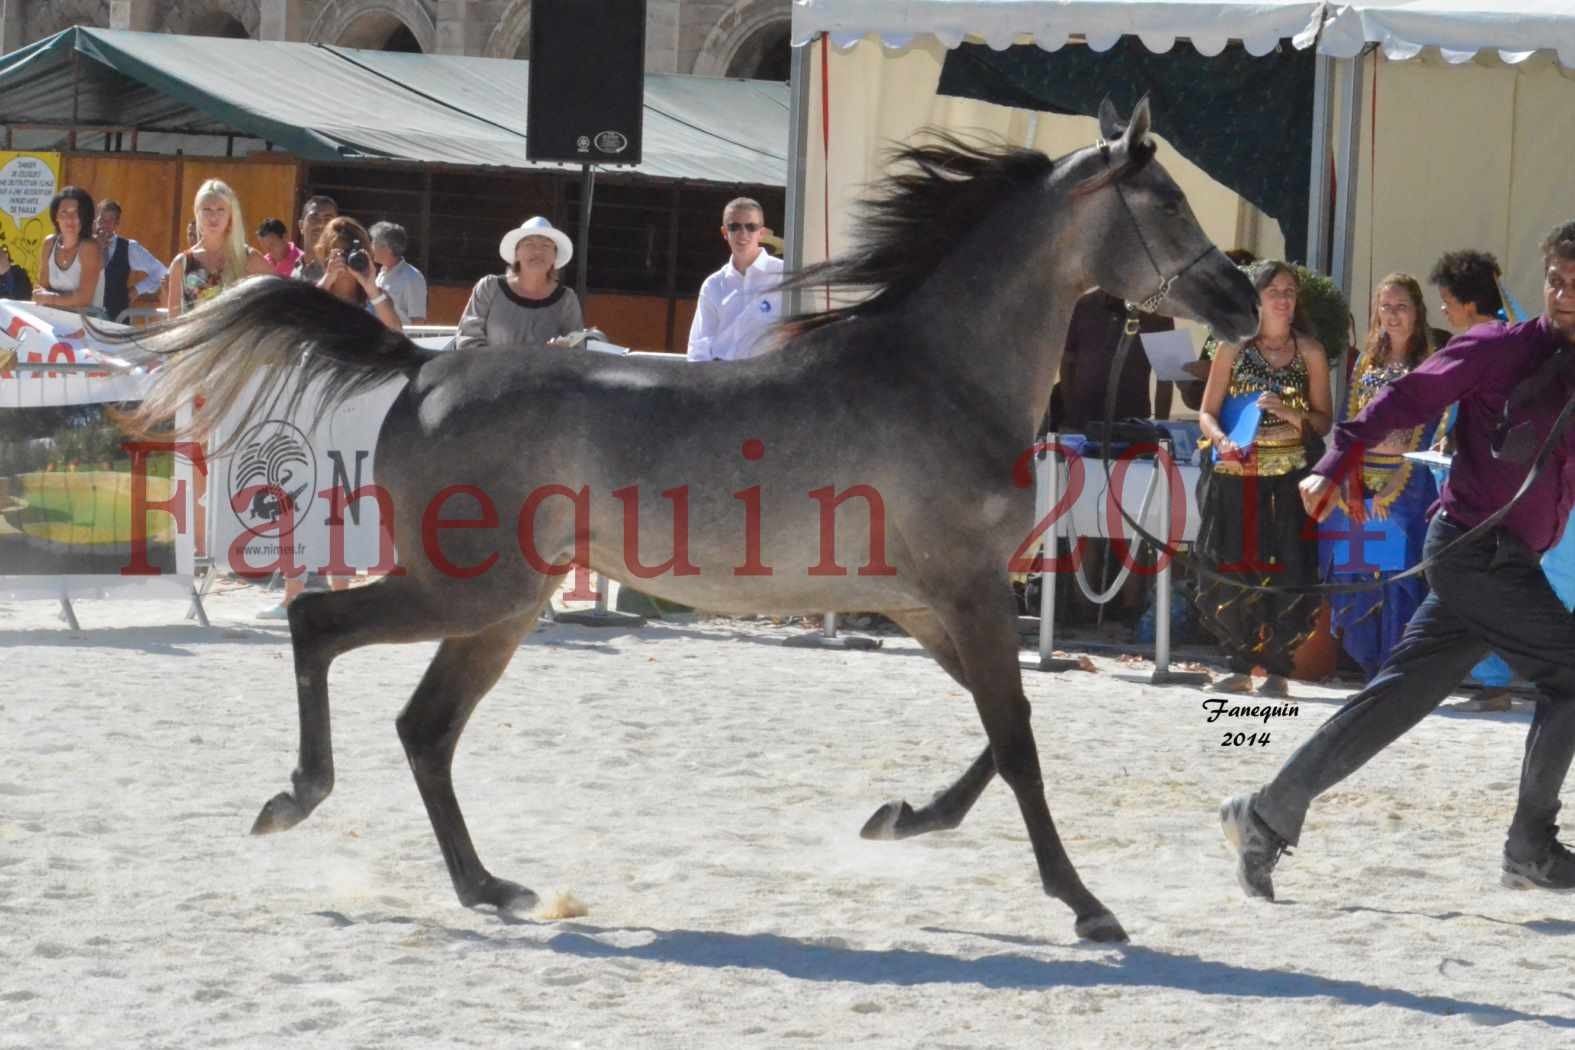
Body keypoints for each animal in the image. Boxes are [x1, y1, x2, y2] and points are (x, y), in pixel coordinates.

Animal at [114, 100, 1253, 944]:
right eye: (1165, 199)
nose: (1242, 299)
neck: (940, 376)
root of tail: (426, 366)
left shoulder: (928, 604)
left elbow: (1002, 727)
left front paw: (899, 819)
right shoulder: (965, 593)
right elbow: (1014, 739)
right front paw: (1089, 907)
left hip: (504, 605)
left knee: (424, 727)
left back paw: (493, 889)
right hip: (471, 585)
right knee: (319, 627)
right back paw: (297, 800)